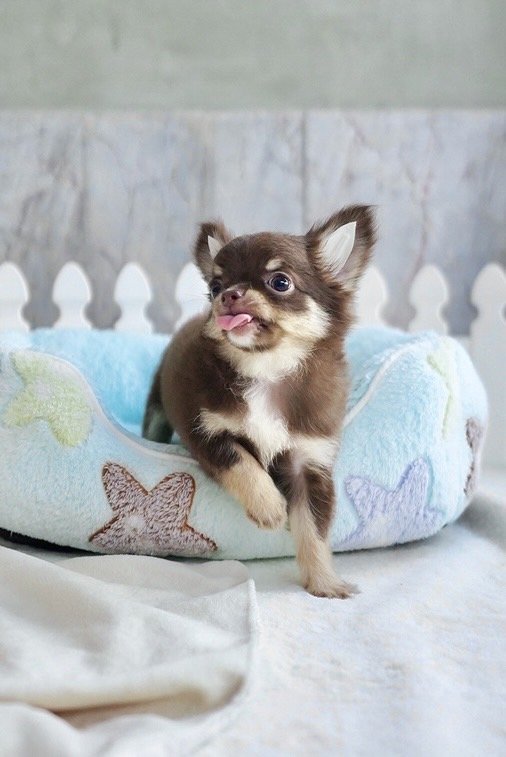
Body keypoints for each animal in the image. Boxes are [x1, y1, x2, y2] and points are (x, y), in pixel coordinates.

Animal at [142, 205, 376, 598]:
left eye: (280, 282)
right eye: (215, 286)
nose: (228, 295)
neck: (267, 369)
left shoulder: (310, 462)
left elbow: (314, 530)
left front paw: (324, 582)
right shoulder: (206, 431)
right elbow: (242, 461)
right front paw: (270, 508)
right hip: (158, 405)